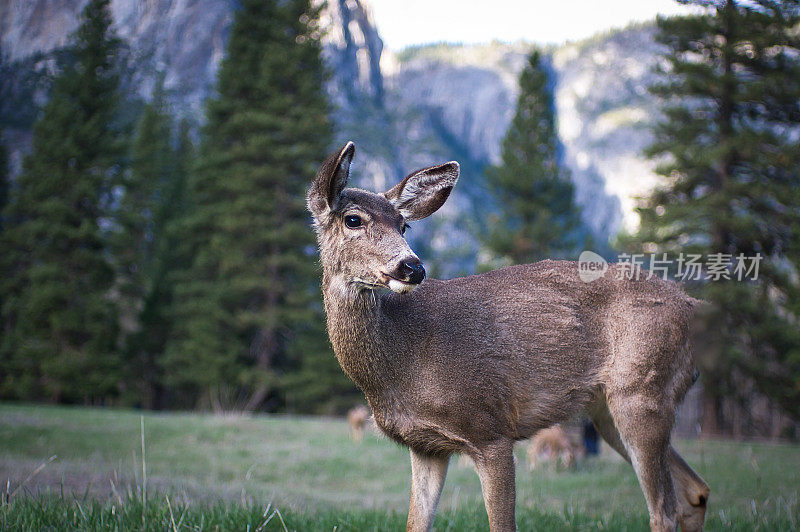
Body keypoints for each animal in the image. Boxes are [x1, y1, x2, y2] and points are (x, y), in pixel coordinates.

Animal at [308, 141, 712, 532]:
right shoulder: (426, 446)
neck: (403, 362)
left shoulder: (491, 428)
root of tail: (691, 303)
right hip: (608, 410)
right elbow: (415, 523)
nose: (412, 267)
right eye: (353, 219)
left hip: (642, 388)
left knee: (665, 511)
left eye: (403, 225)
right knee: (696, 491)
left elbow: (502, 524)